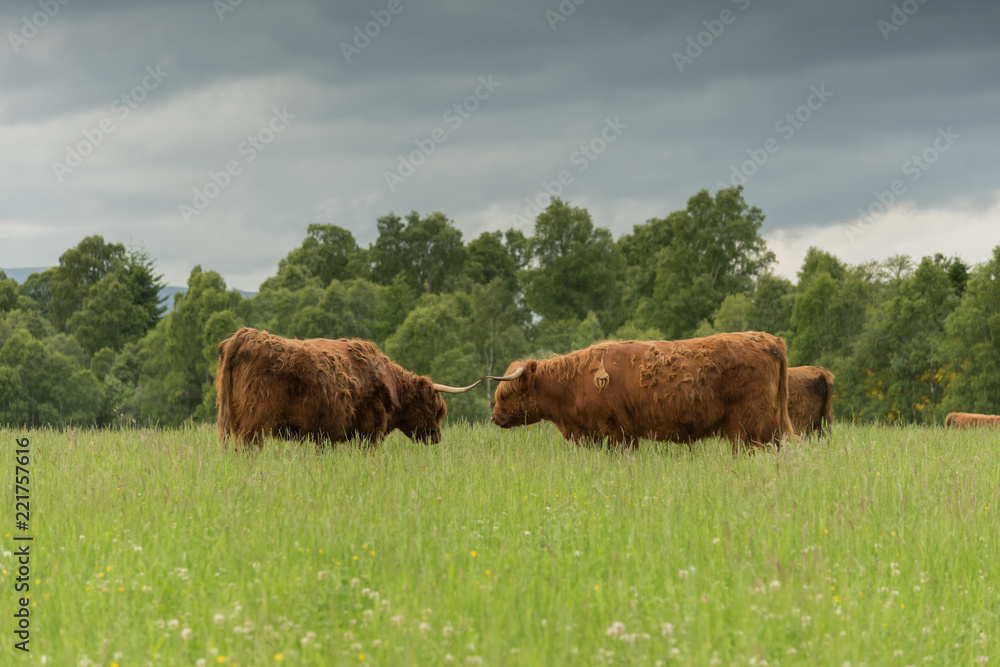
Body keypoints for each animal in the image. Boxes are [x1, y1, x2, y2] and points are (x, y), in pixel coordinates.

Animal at [216, 328, 480, 452]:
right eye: (433, 409)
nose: (437, 437)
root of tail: (244, 335)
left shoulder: (326, 435)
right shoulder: (369, 433)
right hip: (254, 425)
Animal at [488, 332, 792, 456]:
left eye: (506, 393)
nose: (494, 417)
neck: (573, 384)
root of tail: (770, 340)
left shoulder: (616, 432)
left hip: (748, 426)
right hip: (770, 427)